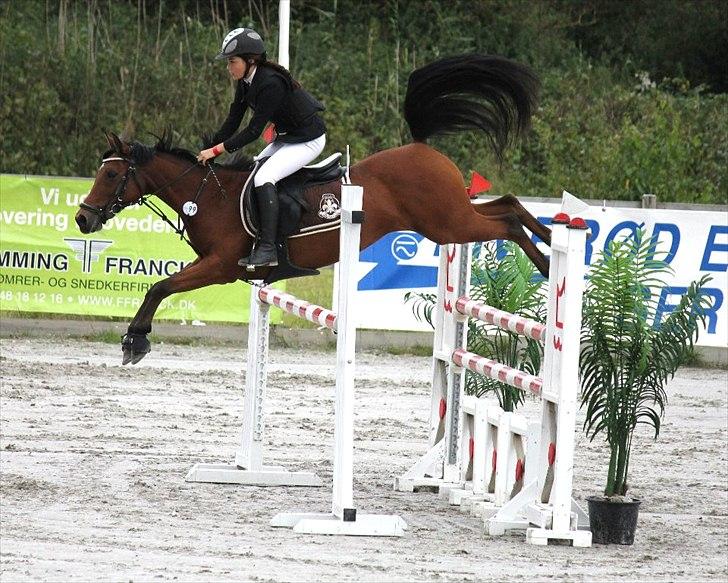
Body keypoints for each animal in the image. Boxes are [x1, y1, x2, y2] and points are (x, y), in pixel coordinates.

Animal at [75, 54, 552, 365]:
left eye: (112, 175)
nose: (83, 217)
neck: (209, 194)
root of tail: (421, 148)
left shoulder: (220, 266)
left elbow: (161, 287)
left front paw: (135, 341)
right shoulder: (212, 263)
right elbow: (159, 287)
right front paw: (134, 337)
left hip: (448, 224)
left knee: (507, 219)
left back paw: (550, 259)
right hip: (450, 217)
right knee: (508, 204)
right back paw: (551, 243)